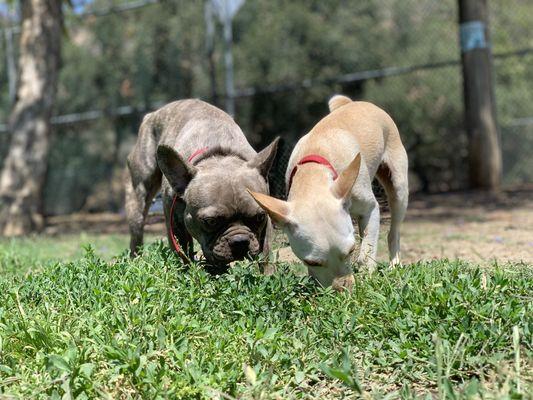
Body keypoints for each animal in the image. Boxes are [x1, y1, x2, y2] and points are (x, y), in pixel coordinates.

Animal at [248, 97, 408, 290]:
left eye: (351, 251)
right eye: (311, 262)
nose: (343, 290)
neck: (313, 171)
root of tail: (354, 102)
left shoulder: (370, 209)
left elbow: (367, 250)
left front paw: (366, 276)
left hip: (398, 186)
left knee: (393, 232)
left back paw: (394, 265)